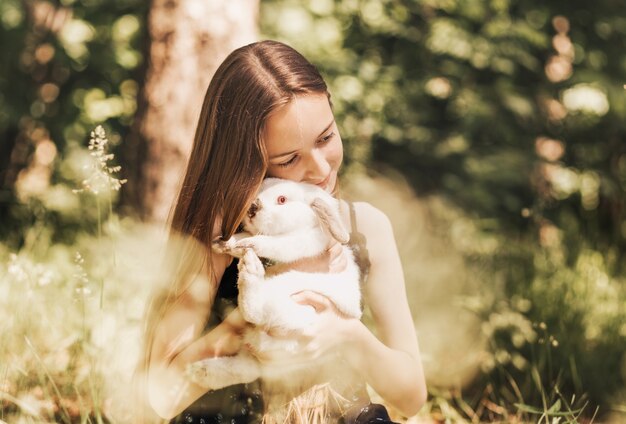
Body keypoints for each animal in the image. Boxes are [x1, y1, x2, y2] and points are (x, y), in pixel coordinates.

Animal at [186, 177, 360, 390]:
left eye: (282, 199)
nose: (253, 207)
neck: (307, 226)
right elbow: (245, 238)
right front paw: (223, 243)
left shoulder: (300, 243)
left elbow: (273, 244)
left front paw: (248, 245)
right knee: (243, 369)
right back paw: (198, 370)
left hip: (297, 311)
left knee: (257, 312)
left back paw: (251, 269)